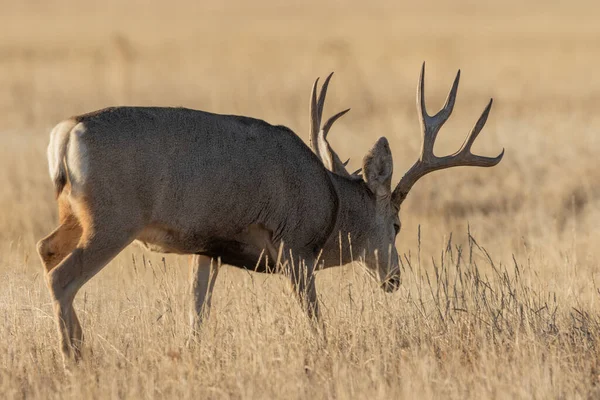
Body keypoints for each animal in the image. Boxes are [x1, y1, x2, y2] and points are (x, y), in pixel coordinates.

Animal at [34, 61, 502, 362]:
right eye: (398, 224)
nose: (394, 279)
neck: (330, 203)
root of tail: (66, 132)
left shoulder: (209, 247)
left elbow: (197, 311)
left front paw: (193, 352)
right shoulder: (295, 246)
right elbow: (314, 315)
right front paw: (324, 352)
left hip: (76, 215)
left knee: (46, 250)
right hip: (114, 218)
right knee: (63, 277)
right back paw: (73, 357)